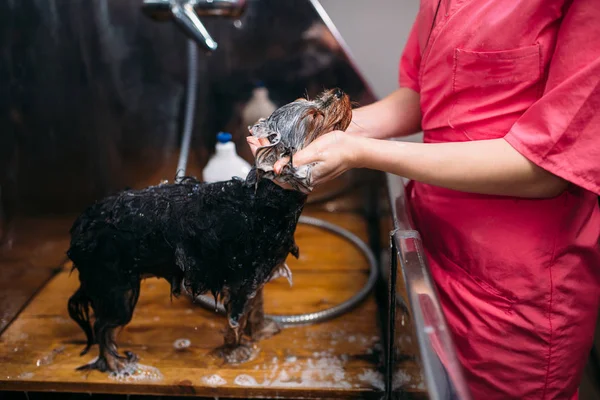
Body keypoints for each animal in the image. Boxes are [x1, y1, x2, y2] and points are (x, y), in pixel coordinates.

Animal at [65, 87, 352, 372]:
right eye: (313, 116)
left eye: (309, 100)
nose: (339, 91)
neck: (263, 202)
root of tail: (84, 223)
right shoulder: (240, 281)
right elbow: (236, 319)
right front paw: (237, 351)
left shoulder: (256, 275)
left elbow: (257, 306)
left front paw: (260, 330)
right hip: (117, 287)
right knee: (103, 327)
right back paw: (116, 364)